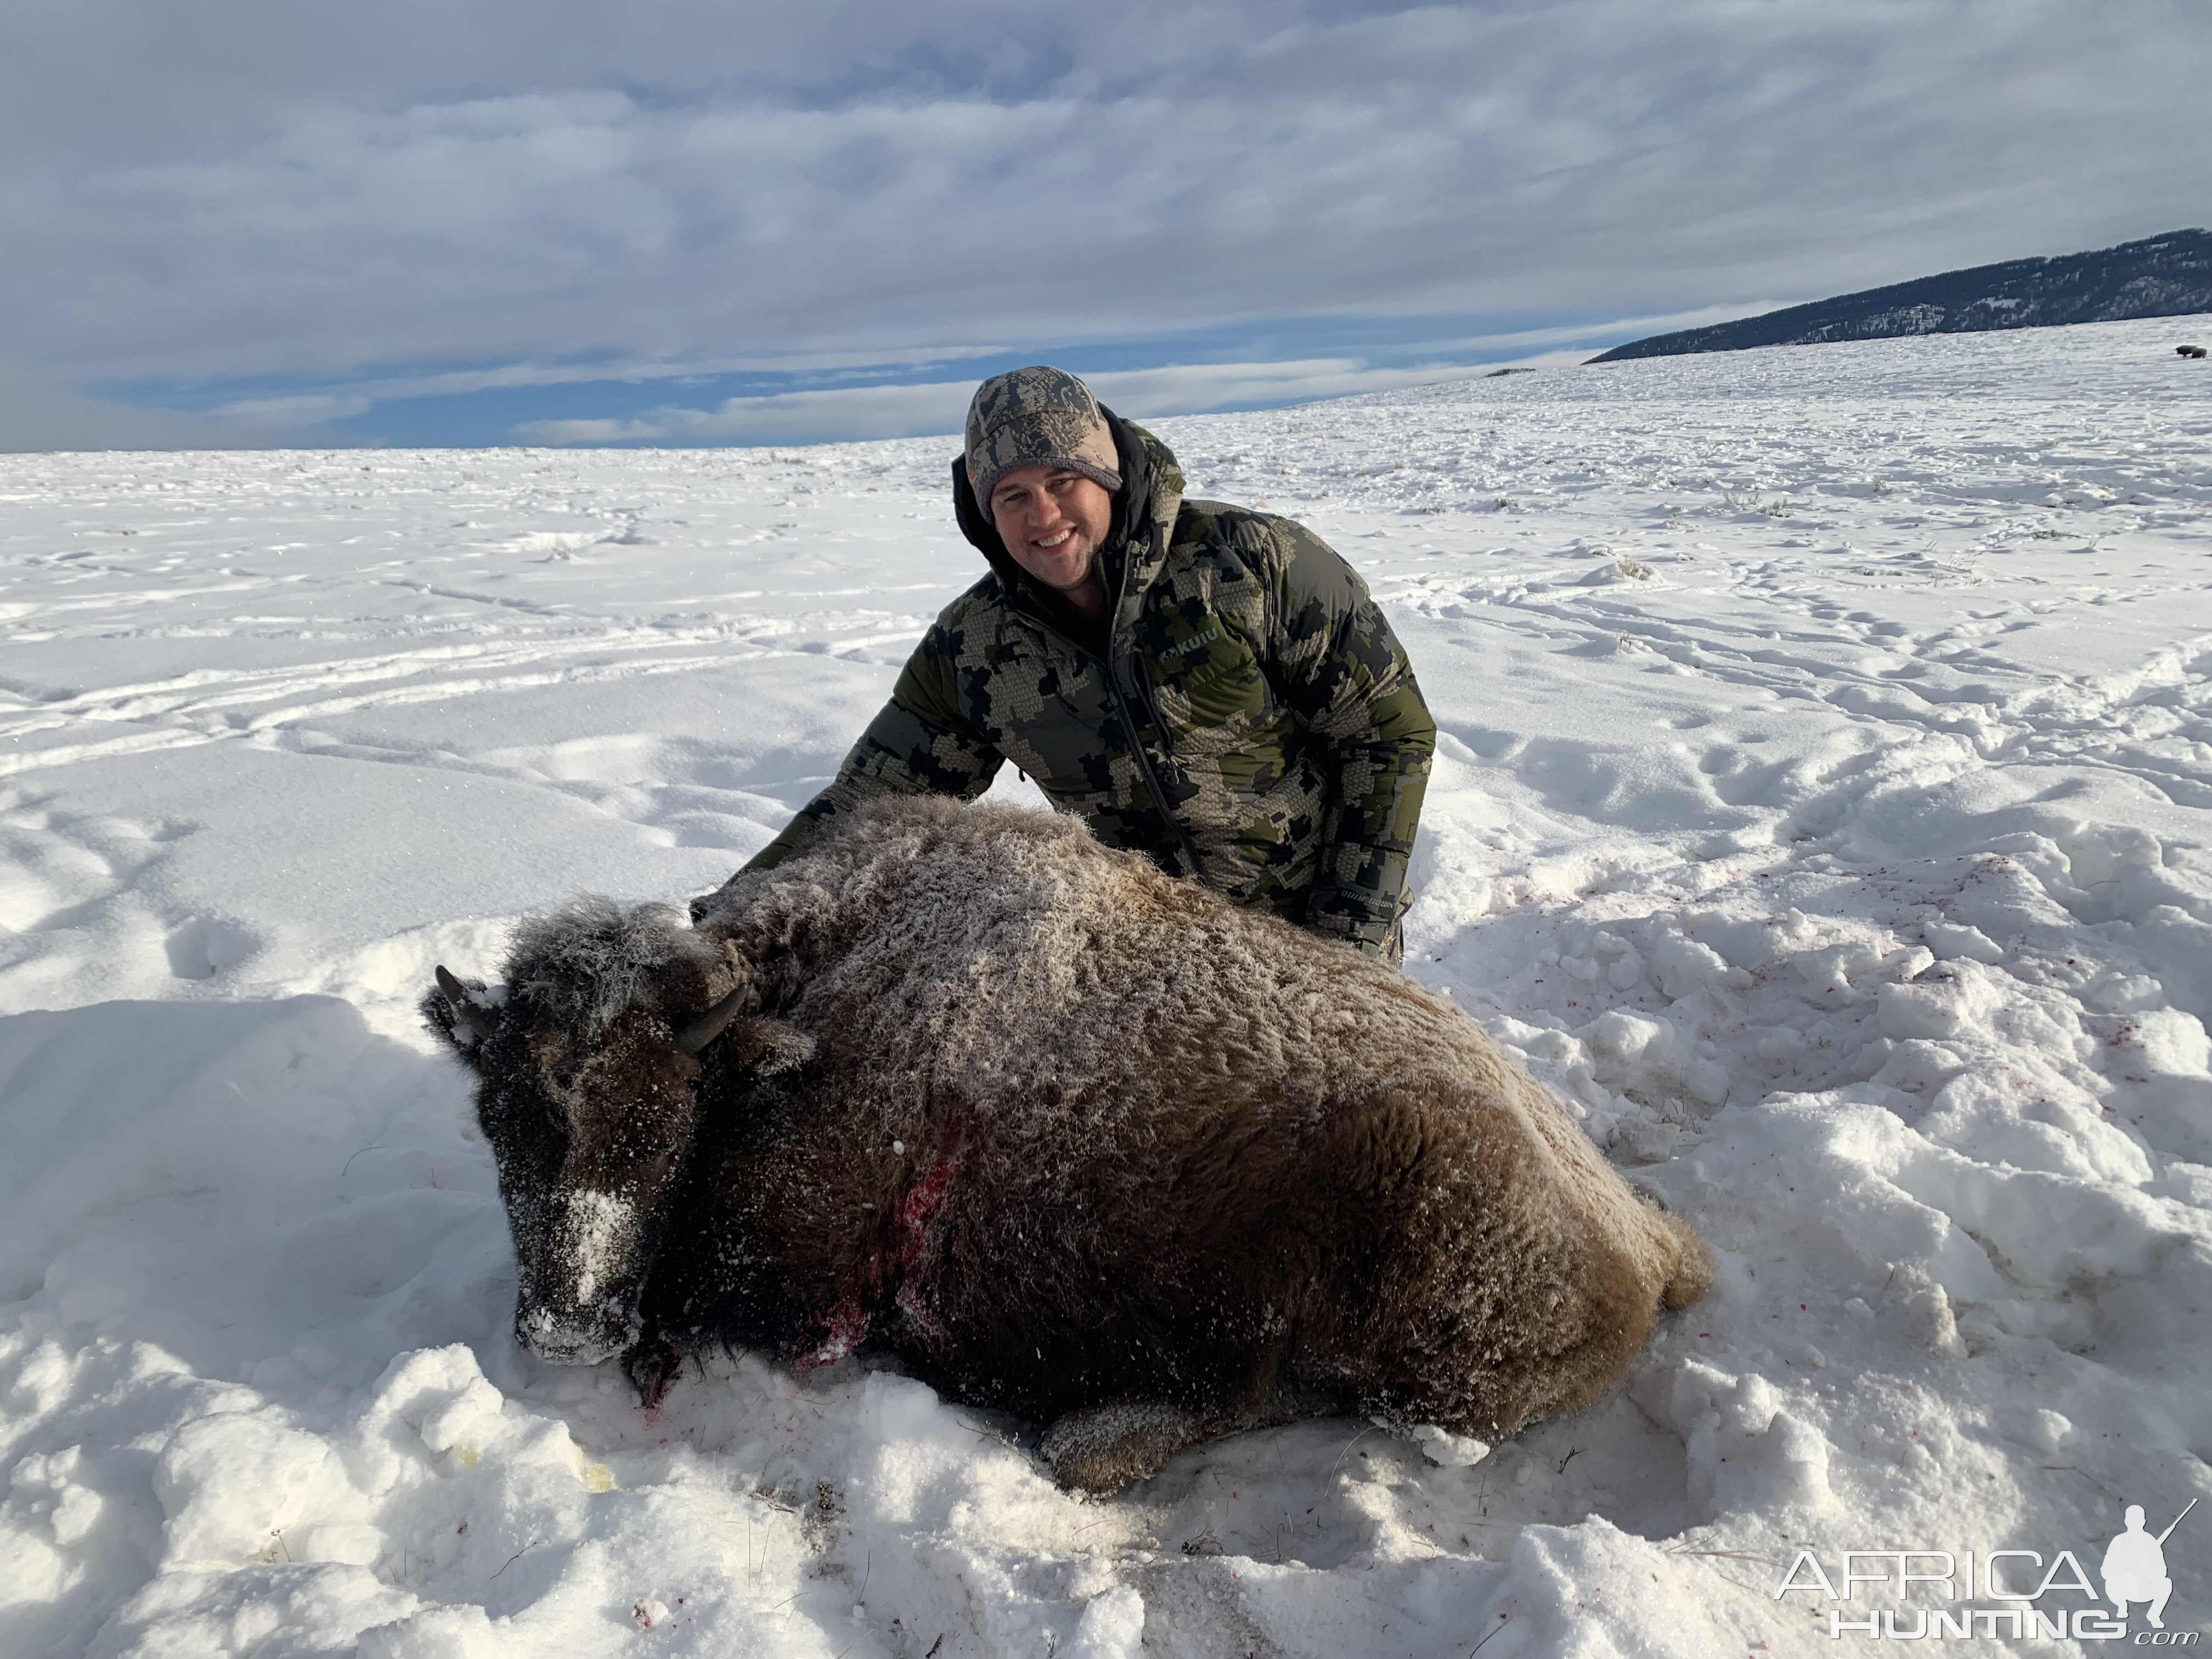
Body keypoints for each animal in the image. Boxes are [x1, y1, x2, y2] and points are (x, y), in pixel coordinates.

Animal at [431, 792, 1707, 1495]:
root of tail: (1653, 1244)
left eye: (662, 1122)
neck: (806, 1011)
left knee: (1281, 1397)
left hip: (1395, 1213)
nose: (568, 1329)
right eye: (496, 1121)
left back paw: (1088, 1434)